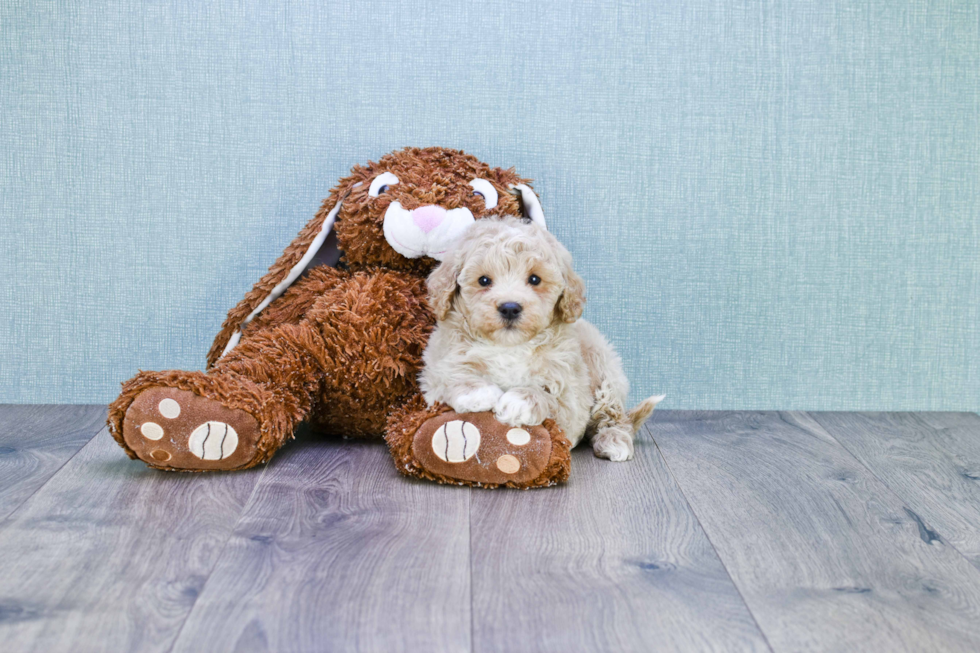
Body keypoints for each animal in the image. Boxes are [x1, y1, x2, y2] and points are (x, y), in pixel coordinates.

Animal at [422, 214, 668, 458]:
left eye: (534, 279)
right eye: (483, 280)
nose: (510, 308)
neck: (508, 346)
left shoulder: (572, 401)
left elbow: (550, 397)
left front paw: (520, 400)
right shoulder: (435, 372)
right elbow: (449, 377)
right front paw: (478, 392)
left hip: (604, 366)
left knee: (613, 413)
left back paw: (614, 440)